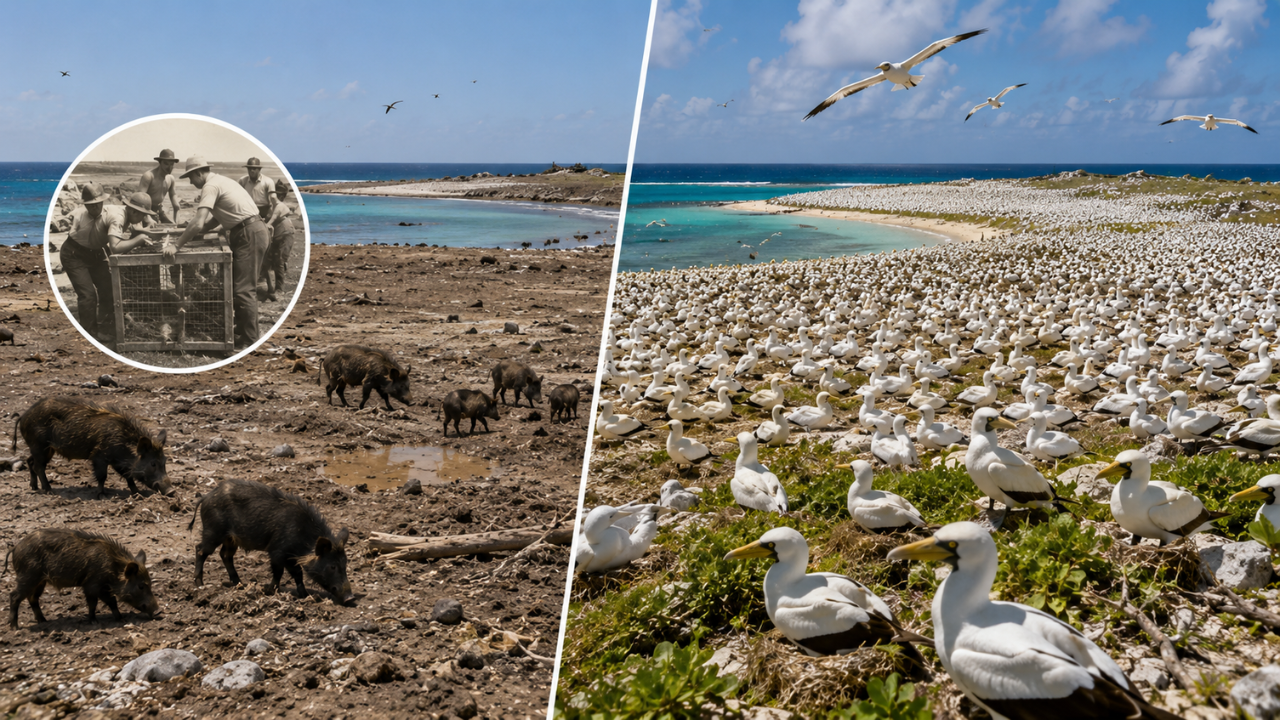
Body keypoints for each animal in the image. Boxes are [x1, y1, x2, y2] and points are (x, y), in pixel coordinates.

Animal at [6, 528, 159, 628]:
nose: (157, 610)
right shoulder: (92, 584)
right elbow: (98, 602)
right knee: (14, 595)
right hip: (28, 577)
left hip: (39, 582)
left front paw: (120, 619)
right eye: (141, 586)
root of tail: (15, 548)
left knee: (32, 598)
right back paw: (15, 627)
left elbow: (109, 602)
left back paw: (44, 621)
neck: (112, 567)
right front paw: (95, 622)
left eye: (150, 584)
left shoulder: (100, 586)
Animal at [13, 396, 172, 497]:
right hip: (39, 446)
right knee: (38, 466)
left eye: (165, 462)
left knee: (30, 461)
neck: (122, 442)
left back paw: (34, 487)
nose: (172, 492)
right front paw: (101, 495)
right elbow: (102, 476)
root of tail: (23, 416)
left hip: (46, 449)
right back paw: (49, 490)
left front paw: (137, 493)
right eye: (153, 463)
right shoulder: (99, 456)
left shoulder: (117, 461)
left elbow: (128, 476)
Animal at [190, 478, 354, 604]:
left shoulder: (290, 557)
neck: (304, 539)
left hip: (230, 539)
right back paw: (200, 584)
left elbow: (297, 574)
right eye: (332, 566)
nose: (350, 598)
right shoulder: (277, 551)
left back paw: (239, 584)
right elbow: (281, 572)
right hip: (213, 531)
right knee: (200, 549)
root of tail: (205, 497)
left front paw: (304, 595)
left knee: (225, 555)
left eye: (345, 563)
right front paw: (271, 590)